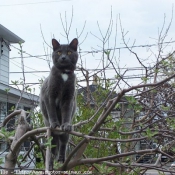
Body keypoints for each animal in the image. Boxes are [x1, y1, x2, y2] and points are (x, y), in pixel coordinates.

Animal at [40, 37, 78, 170]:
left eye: (70, 52)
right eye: (59, 52)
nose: (63, 57)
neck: (64, 74)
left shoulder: (69, 98)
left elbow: (66, 111)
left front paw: (65, 125)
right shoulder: (49, 95)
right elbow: (51, 110)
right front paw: (55, 124)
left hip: (64, 137)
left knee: (62, 143)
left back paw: (61, 160)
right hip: (50, 135)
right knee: (52, 149)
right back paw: (50, 164)